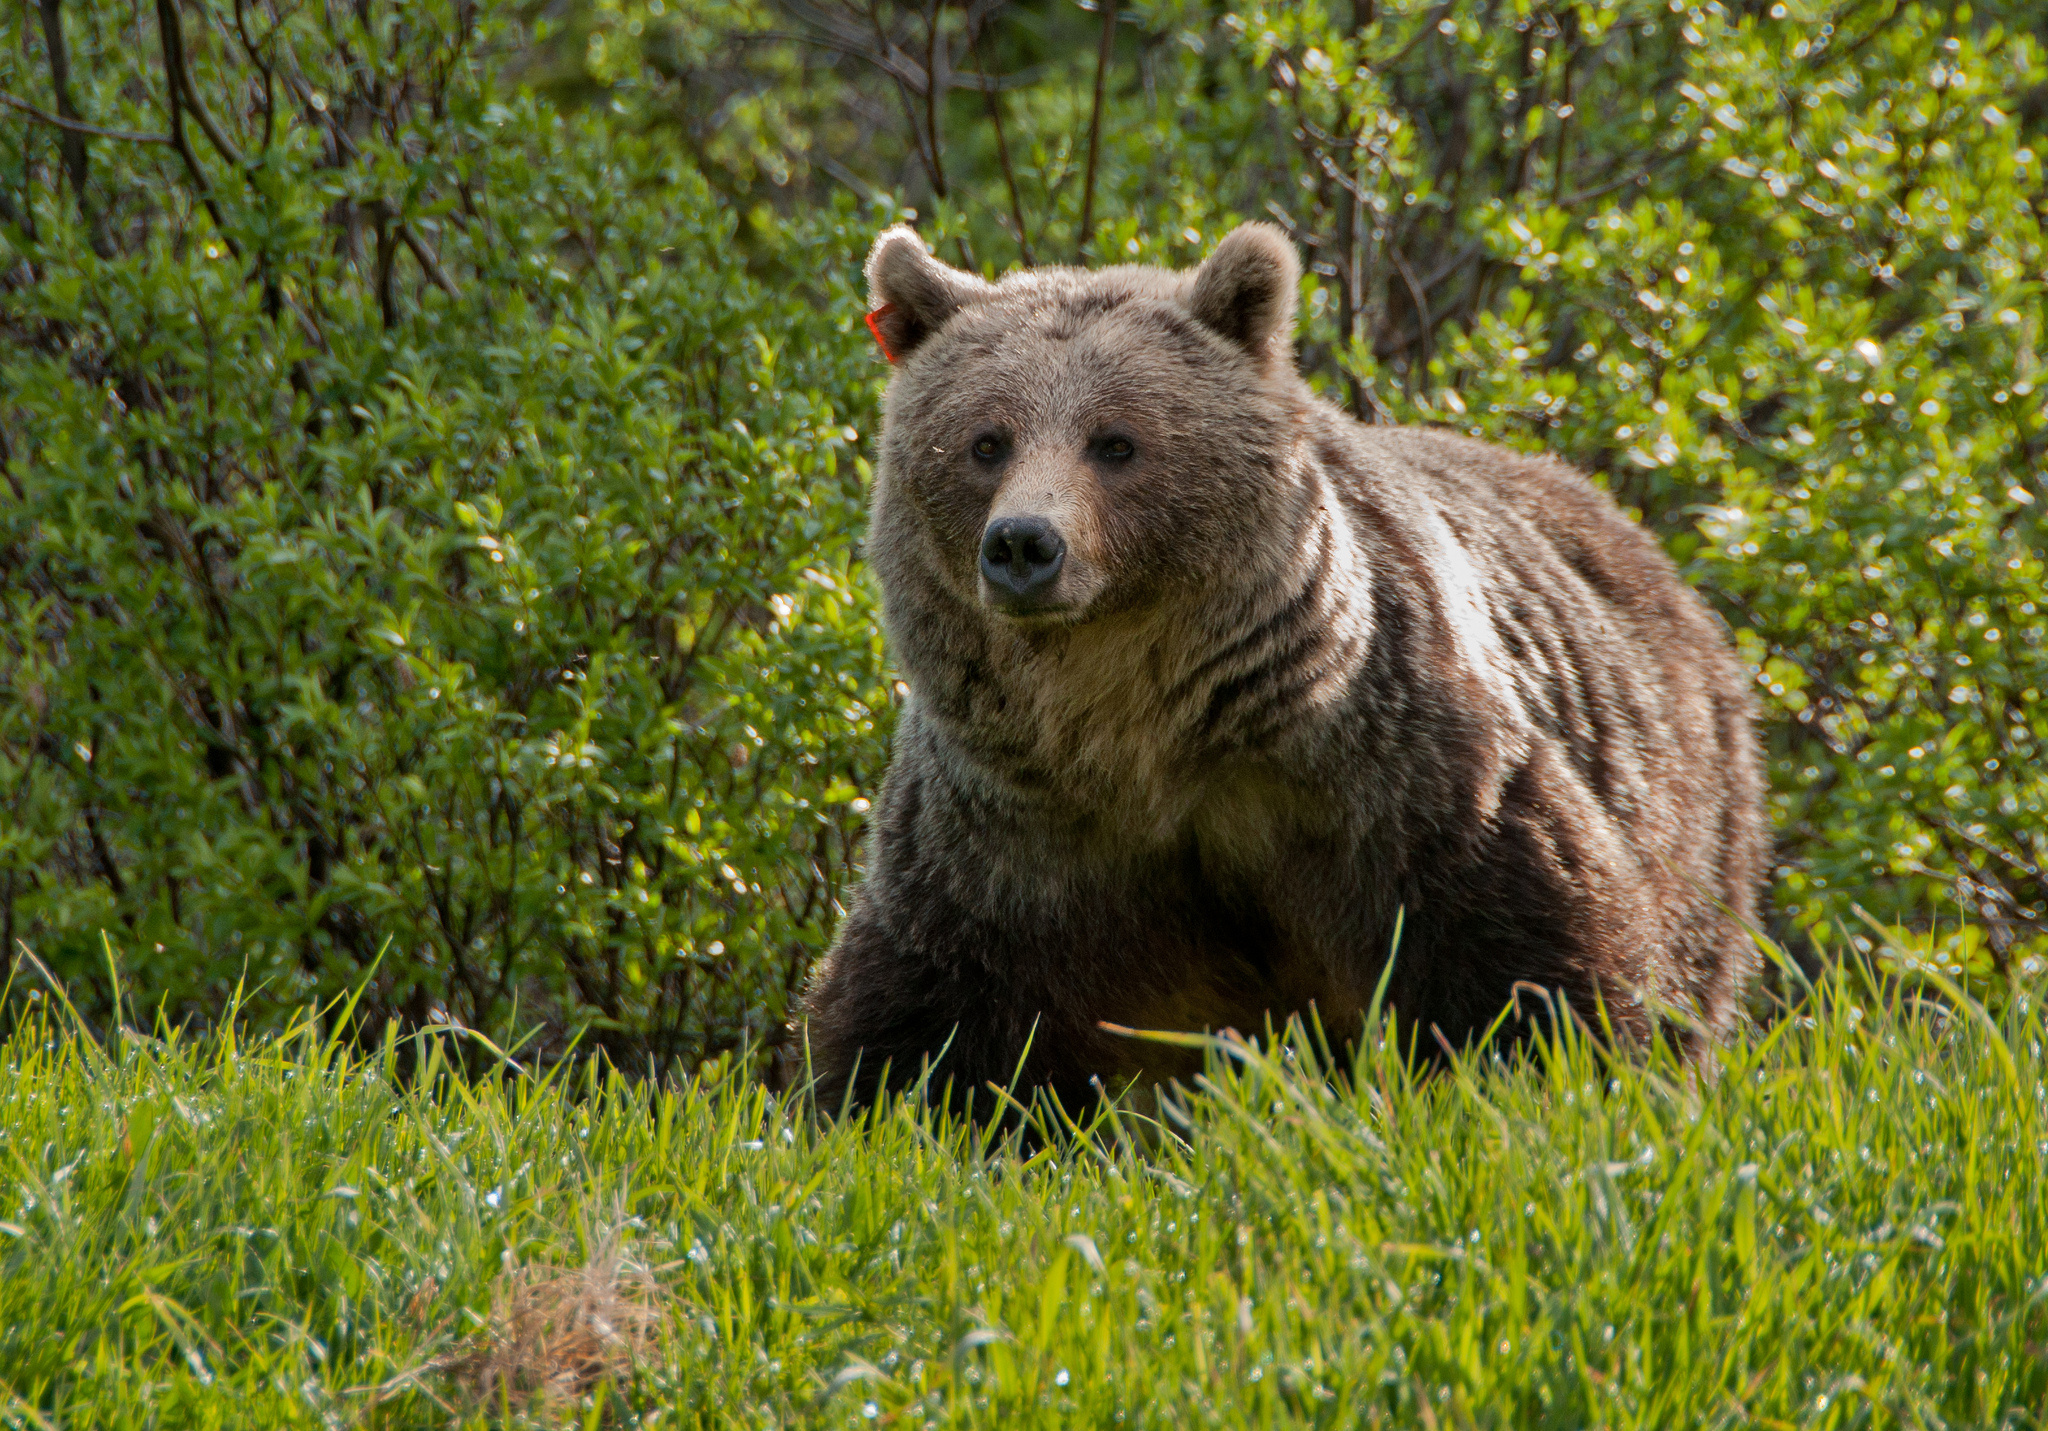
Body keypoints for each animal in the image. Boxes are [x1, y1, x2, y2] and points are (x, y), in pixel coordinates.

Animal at [790, 226, 1769, 1121]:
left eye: (1116, 441)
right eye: (985, 441)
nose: (1025, 543)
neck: (1139, 728)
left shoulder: (1393, 777)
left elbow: (1526, 959)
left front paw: (1552, 1078)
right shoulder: (1009, 838)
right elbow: (927, 1013)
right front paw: (888, 1112)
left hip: (1690, 802)